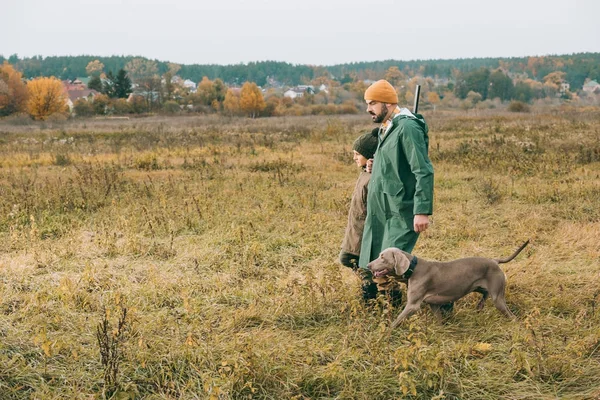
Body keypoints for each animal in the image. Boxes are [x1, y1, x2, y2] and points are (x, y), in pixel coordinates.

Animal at [366, 241, 528, 328]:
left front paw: (385, 333)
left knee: (510, 314)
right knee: (484, 293)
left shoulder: (413, 305)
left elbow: (397, 320)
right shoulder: (433, 303)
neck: (413, 269)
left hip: (498, 297)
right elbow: (439, 318)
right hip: (479, 287)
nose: (368, 265)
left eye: (382, 257)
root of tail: (495, 261)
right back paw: (480, 305)